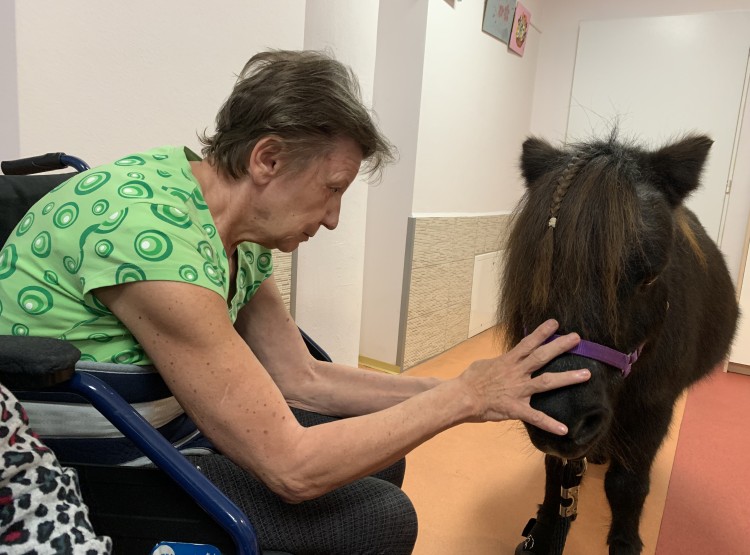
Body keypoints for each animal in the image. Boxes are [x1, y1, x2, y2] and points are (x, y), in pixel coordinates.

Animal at [498, 133, 739, 555]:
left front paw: (625, 542)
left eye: (650, 276)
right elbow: (555, 477)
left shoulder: (654, 406)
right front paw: (543, 530)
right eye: (534, 268)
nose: (564, 416)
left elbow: (627, 484)